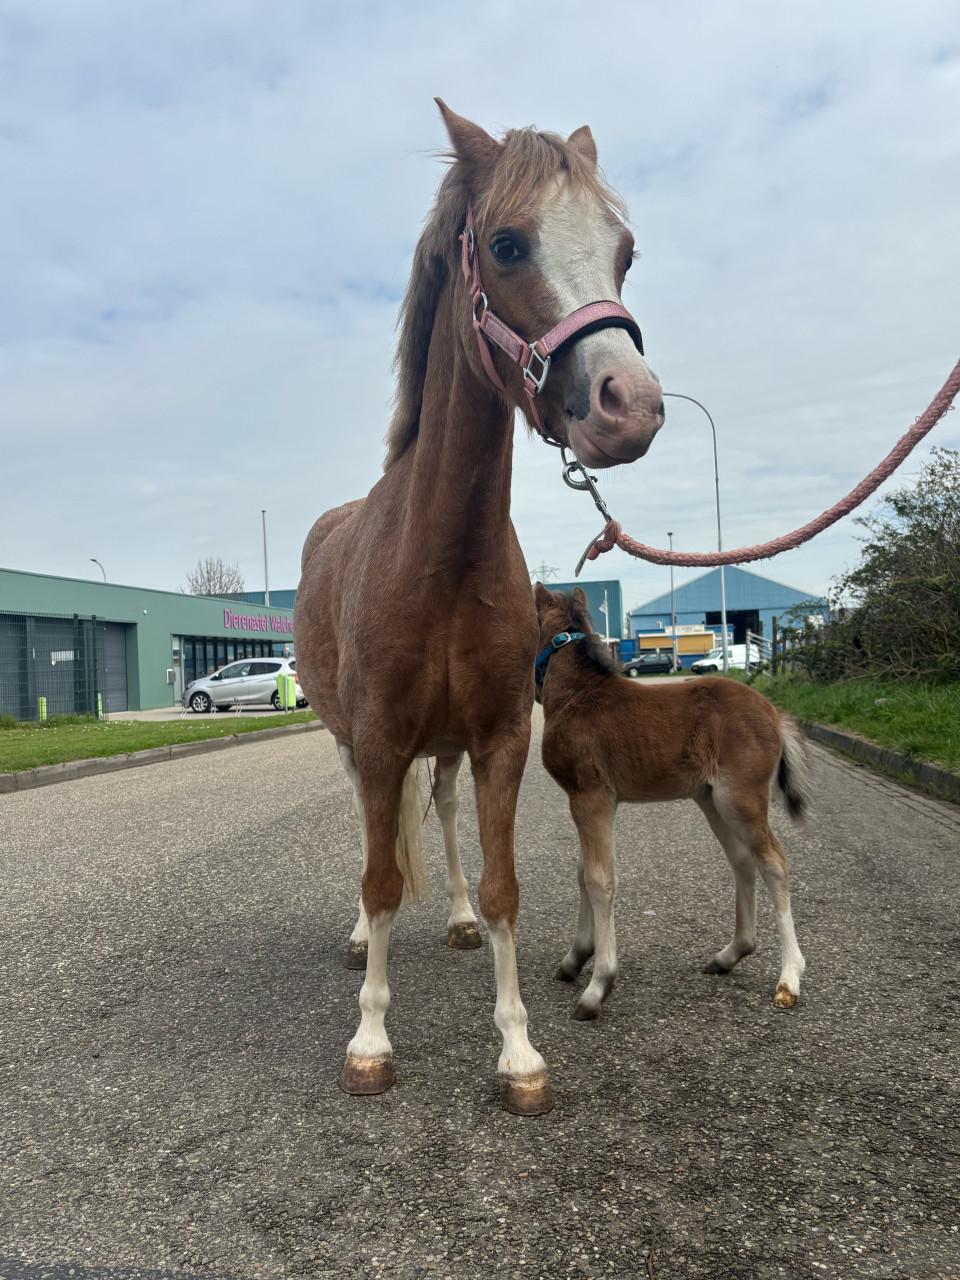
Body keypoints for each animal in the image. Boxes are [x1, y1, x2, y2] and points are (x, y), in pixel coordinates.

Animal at [294, 102, 664, 1115]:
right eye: (506, 244)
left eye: (624, 252)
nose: (630, 405)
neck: (439, 557)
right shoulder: (380, 739)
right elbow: (381, 880)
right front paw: (371, 1040)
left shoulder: (498, 738)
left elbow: (502, 890)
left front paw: (519, 1051)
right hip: (353, 742)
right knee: (375, 843)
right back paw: (357, 941)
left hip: (450, 746)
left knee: (449, 815)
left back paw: (454, 916)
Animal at [533, 585, 808, 1021]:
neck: (577, 694)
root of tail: (775, 713)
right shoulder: (591, 801)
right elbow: (583, 871)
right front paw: (575, 959)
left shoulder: (591, 796)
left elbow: (599, 878)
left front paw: (598, 985)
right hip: (710, 798)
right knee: (742, 860)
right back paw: (730, 955)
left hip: (740, 798)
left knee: (773, 862)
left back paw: (789, 978)